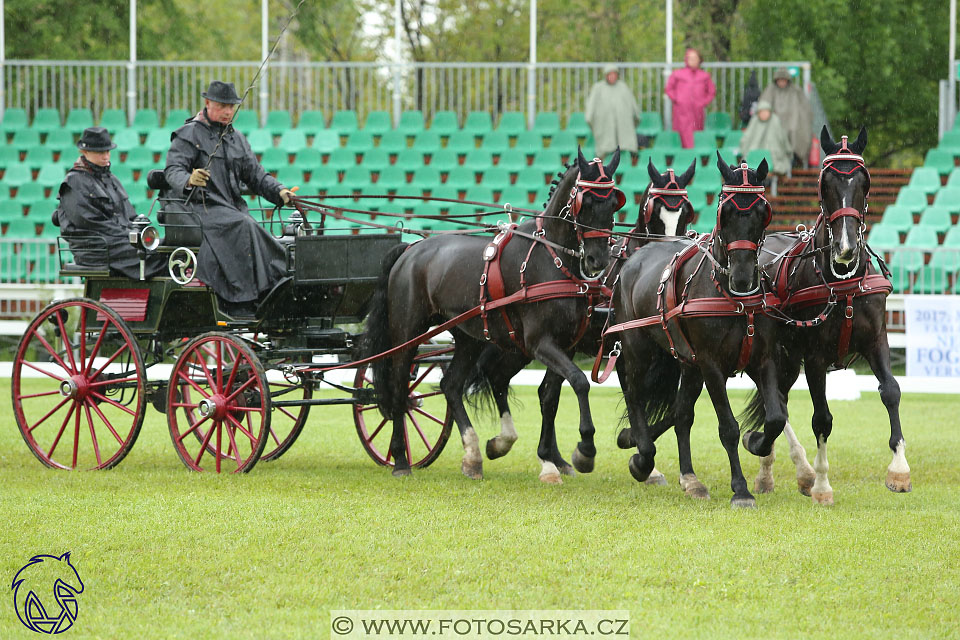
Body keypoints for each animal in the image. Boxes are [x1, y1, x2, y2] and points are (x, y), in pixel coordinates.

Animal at [366, 150, 624, 478]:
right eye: (585, 201)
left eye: (614, 201)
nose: (597, 260)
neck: (551, 258)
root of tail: (411, 249)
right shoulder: (540, 343)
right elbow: (580, 382)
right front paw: (585, 450)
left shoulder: (565, 344)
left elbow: (551, 396)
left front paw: (549, 457)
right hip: (407, 332)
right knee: (399, 385)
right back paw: (400, 460)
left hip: (469, 337)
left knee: (451, 385)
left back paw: (473, 455)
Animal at [462, 160, 692, 484]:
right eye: (653, 212)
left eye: (685, 212)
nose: (669, 257)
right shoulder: (619, 350)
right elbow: (636, 397)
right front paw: (631, 448)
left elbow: (663, 405)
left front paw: (637, 451)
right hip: (520, 345)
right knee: (500, 378)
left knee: (535, 389)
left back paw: (552, 458)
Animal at [612, 155, 784, 504]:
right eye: (724, 211)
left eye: (763, 211)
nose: (742, 276)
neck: (733, 298)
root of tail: (635, 257)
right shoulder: (710, 364)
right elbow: (728, 427)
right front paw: (741, 489)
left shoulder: (762, 359)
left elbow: (775, 419)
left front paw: (756, 441)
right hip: (639, 348)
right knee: (635, 393)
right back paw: (642, 457)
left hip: (687, 363)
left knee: (681, 414)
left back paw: (688, 477)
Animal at [744, 126, 908, 504]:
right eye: (825, 184)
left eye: (864, 181)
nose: (846, 247)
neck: (841, 281)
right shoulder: (815, 356)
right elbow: (822, 418)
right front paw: (821, 484)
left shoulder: (876, 339)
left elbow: (891, 391)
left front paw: (899, 469)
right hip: (777, 354)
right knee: (777, 403)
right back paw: (788, 469)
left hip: (789, 360)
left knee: (778, 400)